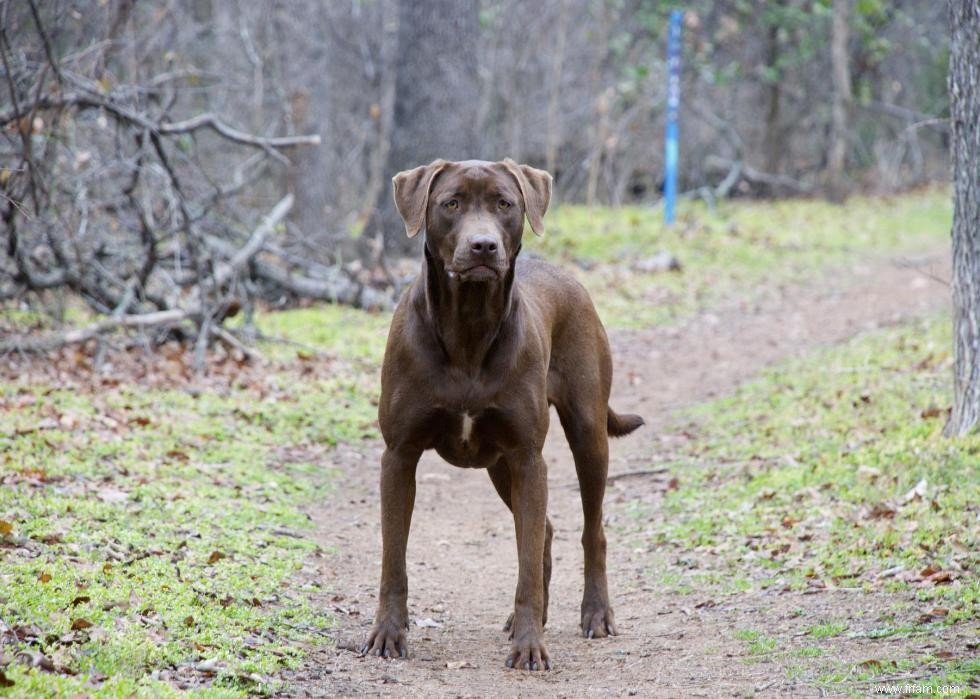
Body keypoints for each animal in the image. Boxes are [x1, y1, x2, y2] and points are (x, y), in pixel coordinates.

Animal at [362, 159, 644, 672]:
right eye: (451, 203)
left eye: (504, 204)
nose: (483, 246)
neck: (469, 329)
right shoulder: (399, 456)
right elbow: (394, 560)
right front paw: (388, 634)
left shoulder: (528, 457)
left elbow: (527, 561)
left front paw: (530, 647)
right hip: (498, 465)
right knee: (546, 530)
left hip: (585, 434)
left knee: (591, 531)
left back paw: (595, 614)